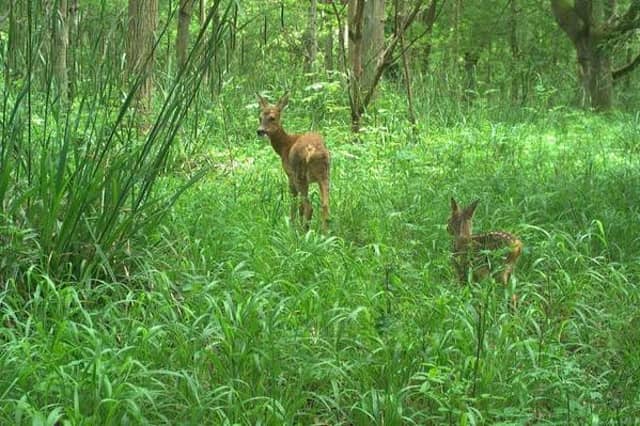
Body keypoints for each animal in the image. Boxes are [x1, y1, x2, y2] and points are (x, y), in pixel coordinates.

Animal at [256, 92, 330, 232]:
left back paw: (303, 232)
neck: (284, 146)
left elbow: (294, 202)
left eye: (272, 118)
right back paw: (325, 233)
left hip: (300, 175)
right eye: (260, 117)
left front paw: (291, 226)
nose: (260, 131)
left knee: (309, 206)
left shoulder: (289, 174)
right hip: (324, 174)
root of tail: (313, 150)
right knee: (325, 204)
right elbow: (300, 205)